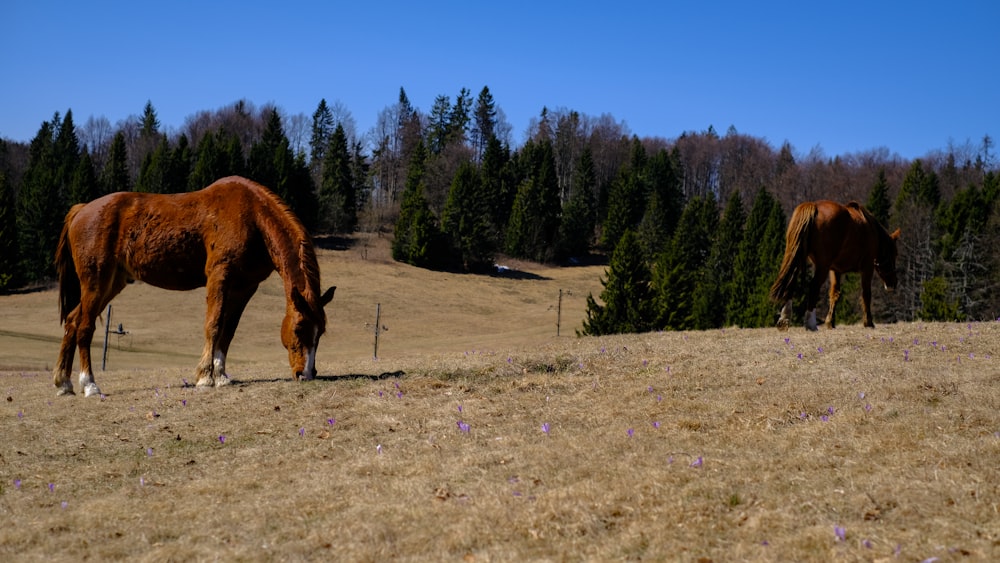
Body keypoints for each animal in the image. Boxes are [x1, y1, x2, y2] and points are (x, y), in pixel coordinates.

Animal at [53, 176, 336, 396]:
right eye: (299, 328)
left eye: (321, 332)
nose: (306, 374)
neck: (252, 216)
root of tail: (81, 210)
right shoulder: (219, 275)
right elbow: (213, 324)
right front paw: (205, 377)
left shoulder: (245, 287)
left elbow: (228, 331)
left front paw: (220, 375)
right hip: (96, 281)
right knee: (84, 327)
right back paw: (89, 385)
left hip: (113, 282)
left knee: (72, 321)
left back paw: (64, 383)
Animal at [768, 200, 904, 330]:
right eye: (895, 254)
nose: (893, 283)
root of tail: (814, 207)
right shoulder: (867, 268)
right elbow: (866, 294)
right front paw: (868, 322)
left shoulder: (835, 270)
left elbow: (835, 294)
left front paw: (830, 322)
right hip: (822, 266)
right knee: (813, 286)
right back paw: (811, 323)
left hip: (797, 256)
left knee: (791, 280)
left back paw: (785, 318)